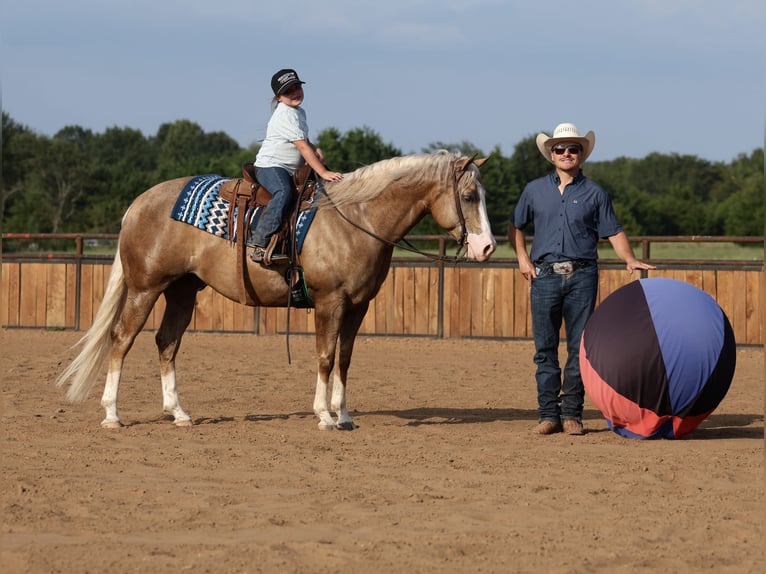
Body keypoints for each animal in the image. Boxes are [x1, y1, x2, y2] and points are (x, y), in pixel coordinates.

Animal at [55, 152, 497, 430]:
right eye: (468, 196)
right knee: (120, 340)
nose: (487, 248)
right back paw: (112, 415)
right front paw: (324, 416)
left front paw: (345, 416)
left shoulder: (358, 306)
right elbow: (324, 357)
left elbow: (345, 359)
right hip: (145, 288)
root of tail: (138, 204)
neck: (355, 219)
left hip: (182, 290)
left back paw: (178, 413)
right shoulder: (329, 301)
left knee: (166, 342)